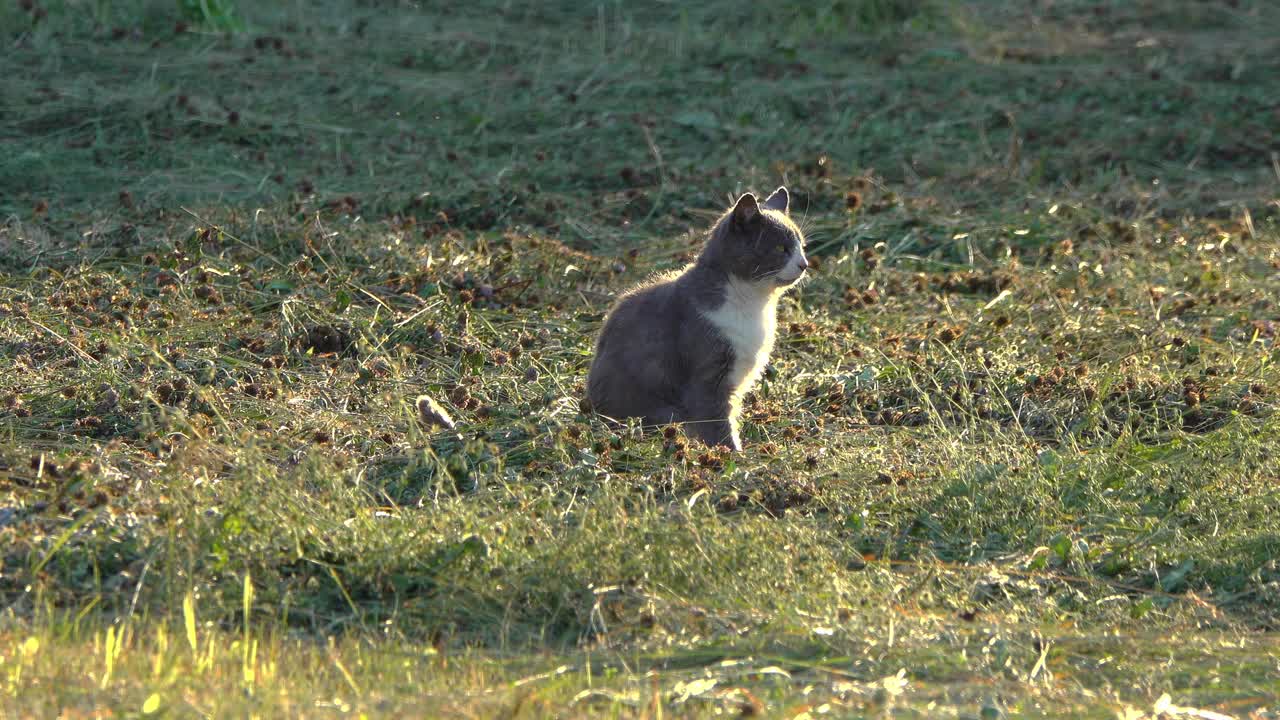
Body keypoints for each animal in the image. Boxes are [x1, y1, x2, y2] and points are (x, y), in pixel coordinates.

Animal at [586, 188, 803, 450]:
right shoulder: (708, 375)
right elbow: (715, 420)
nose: (804, 264)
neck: (754, 304)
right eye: (781, 248)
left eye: (802, 245)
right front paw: (733, 453)